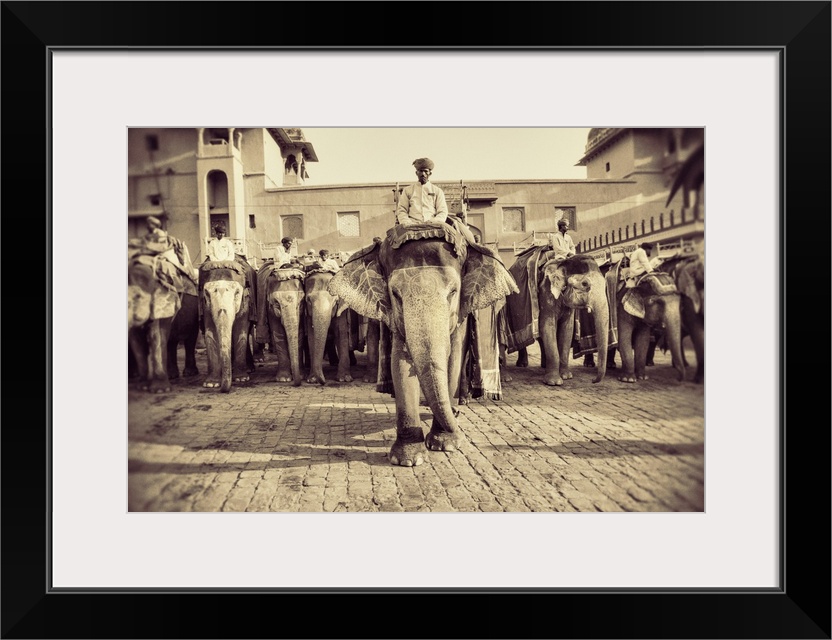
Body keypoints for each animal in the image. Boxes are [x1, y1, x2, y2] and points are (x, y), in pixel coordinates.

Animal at [200, 258, 255, 390]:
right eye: (207, 293)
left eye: (237, 293)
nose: (223, 389)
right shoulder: (205, 306)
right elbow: (210, 333)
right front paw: (211, 384)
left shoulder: (245, 302)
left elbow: (240, 332)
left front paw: (241, 379)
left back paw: (249, 370)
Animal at [326, 222, 516, 468]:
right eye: (395, 294)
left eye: (453, 292)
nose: (460, 436)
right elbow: (399, 362)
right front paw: (408, 458)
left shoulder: (460, 314)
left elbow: (453, 359)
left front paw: (445, 444)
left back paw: (458, 405)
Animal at [500, 250, 612, 384]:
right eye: (585, 284)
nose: (592, 380)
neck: (564, 262)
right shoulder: (545, 291)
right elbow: (548, 325)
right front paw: (554, 382)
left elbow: (567, 329)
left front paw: (567, 376)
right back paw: (522, 365)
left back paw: (543, 366)